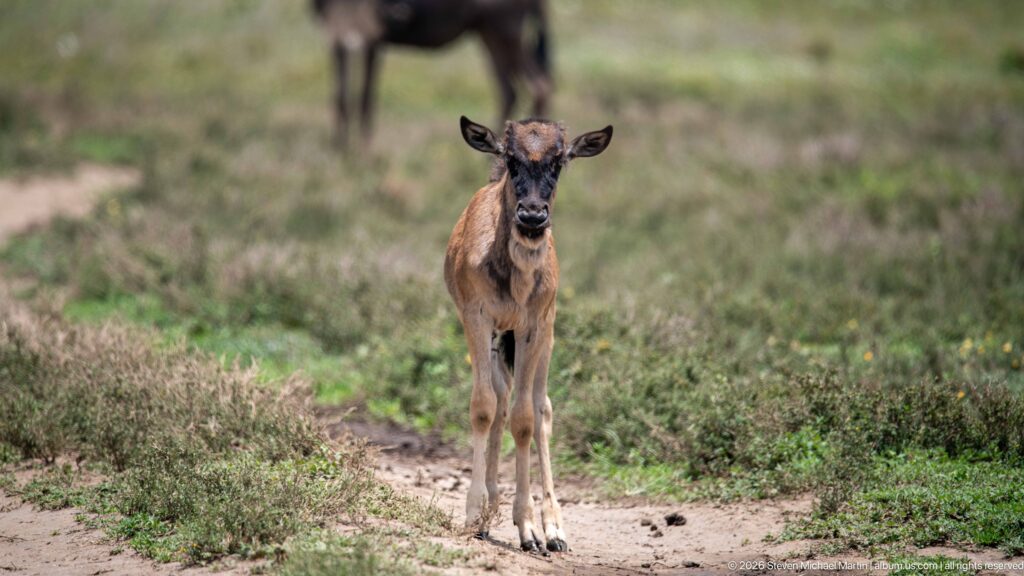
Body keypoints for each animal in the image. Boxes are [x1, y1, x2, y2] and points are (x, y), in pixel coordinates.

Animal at [445, 116, 612, 553]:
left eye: (560, 160)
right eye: (510, 158)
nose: (533, 216)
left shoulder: (533, 326)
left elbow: (525, 419)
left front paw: (531, 530)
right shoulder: (477, 318)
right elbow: (484, 407)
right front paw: (475, 516)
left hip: (544, 337)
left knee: (540, 409)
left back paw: (554, 529)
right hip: (498, 340)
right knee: (501, 401)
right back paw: (491, 506)